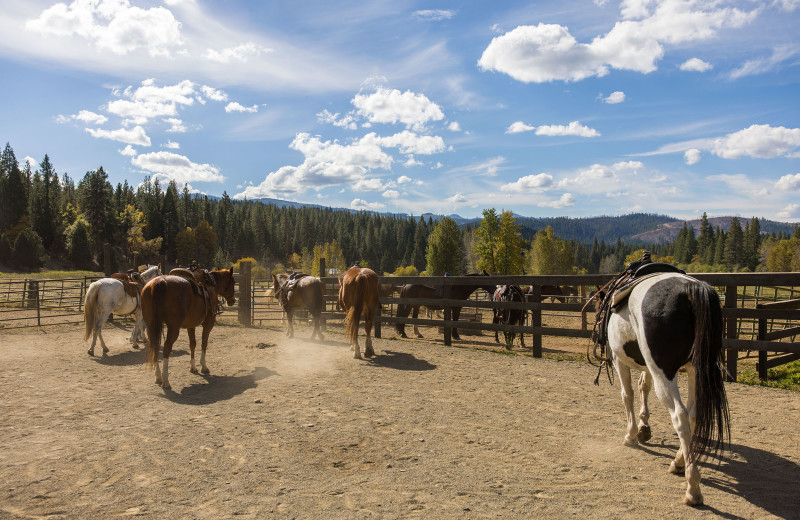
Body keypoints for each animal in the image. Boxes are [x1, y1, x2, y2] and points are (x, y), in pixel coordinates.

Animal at [599, 272, 730, 506]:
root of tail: (690, 289)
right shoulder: (648, 366)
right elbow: (644, 386)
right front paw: (644, 427)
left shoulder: (619, 360)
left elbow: (628, 395)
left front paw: (632, 434)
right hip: (695, 369)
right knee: (693, 415)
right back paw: (679, 461)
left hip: (664, 372)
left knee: (680, 416)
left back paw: (692, 487)